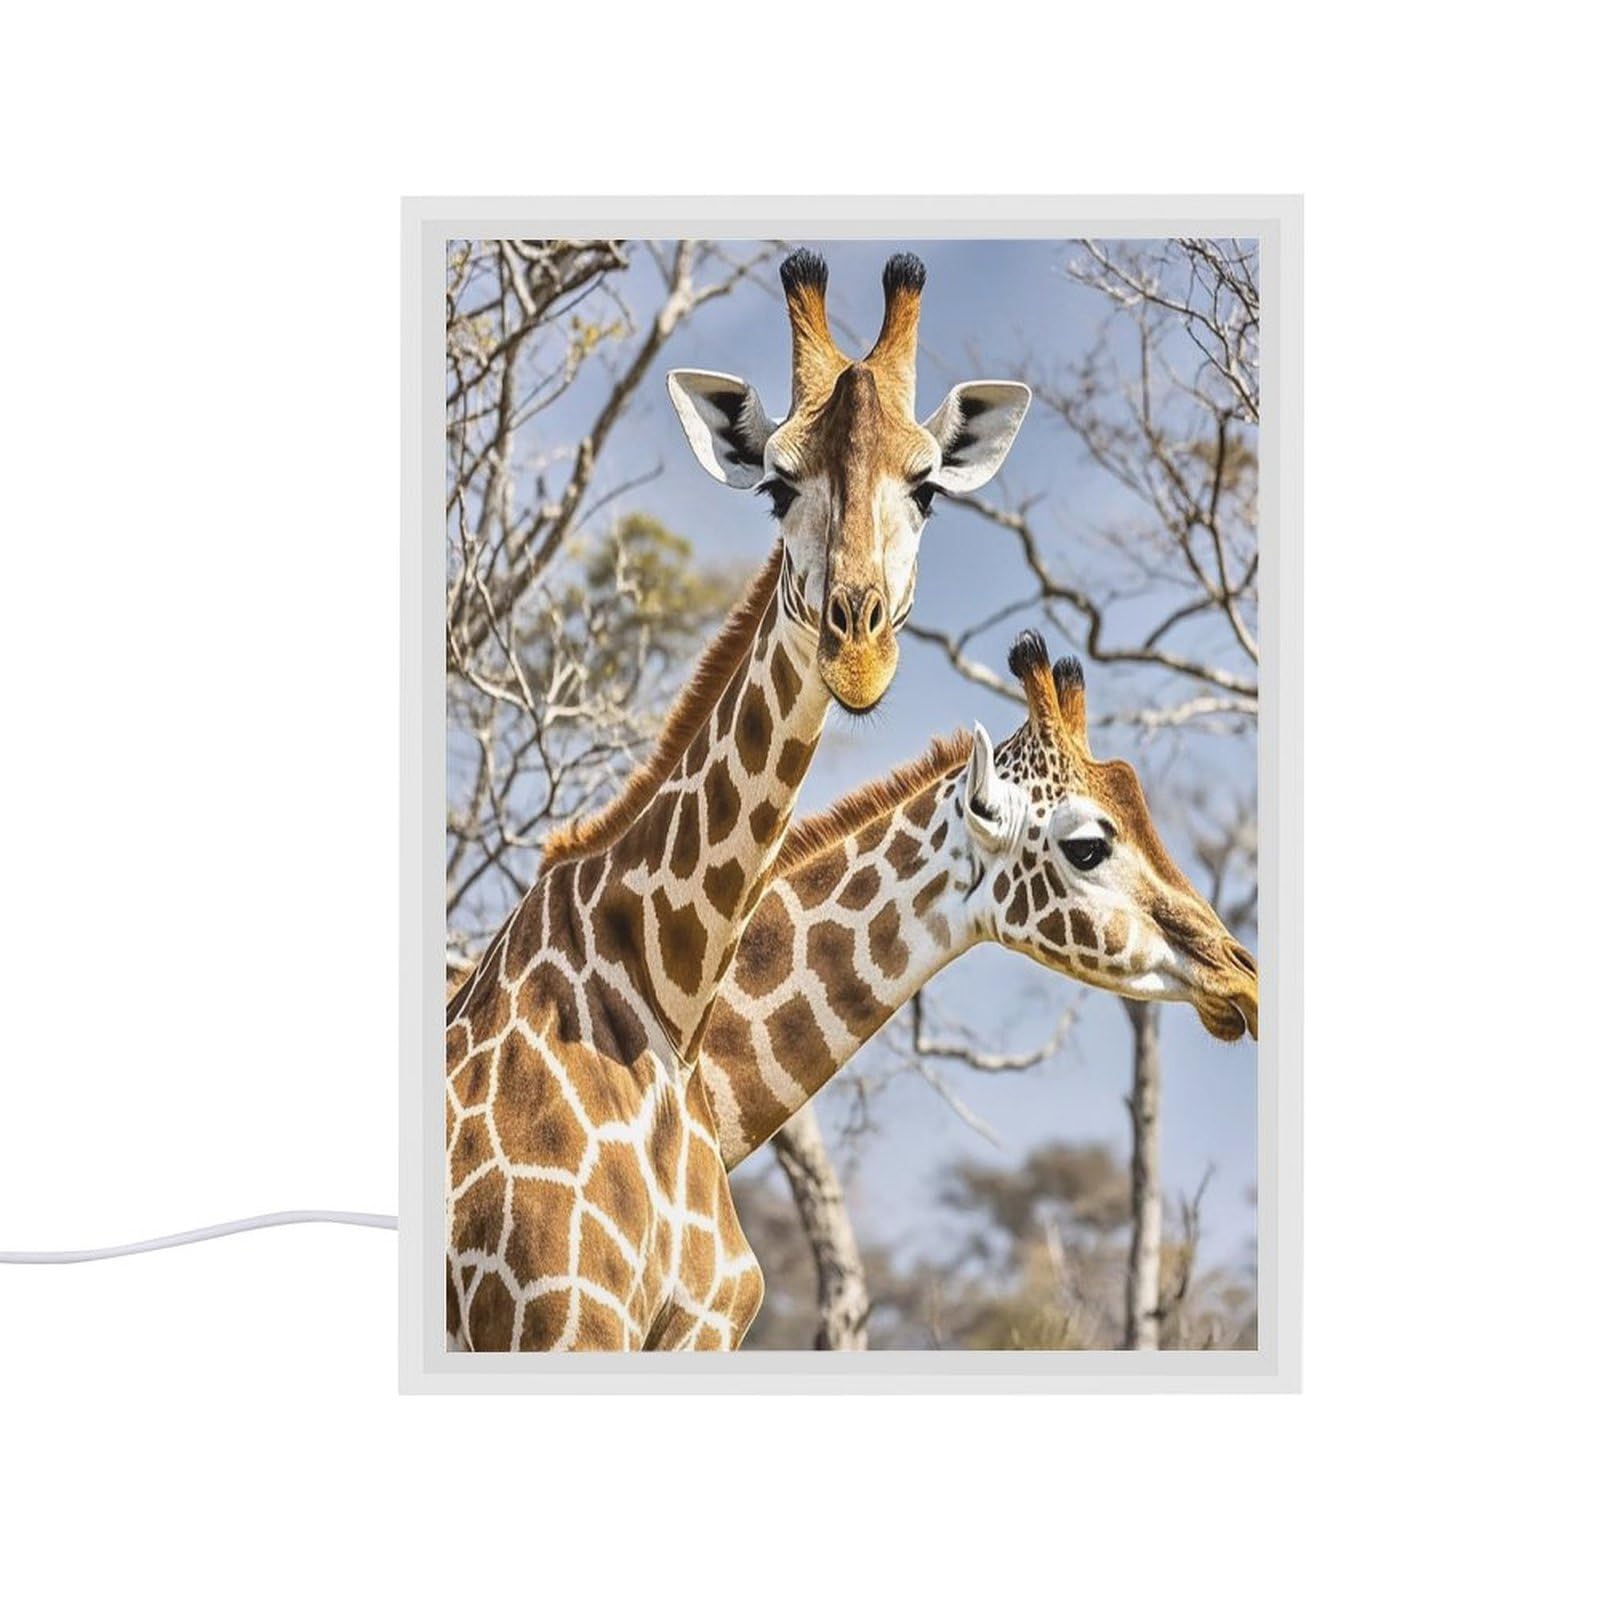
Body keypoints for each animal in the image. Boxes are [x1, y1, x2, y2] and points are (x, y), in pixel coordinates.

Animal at [445, 248, 1031, 1351]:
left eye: (928, 487)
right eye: (776, 485)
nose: (857, 649)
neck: (664, 986)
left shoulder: (698, 1327)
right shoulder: (551, 1317)